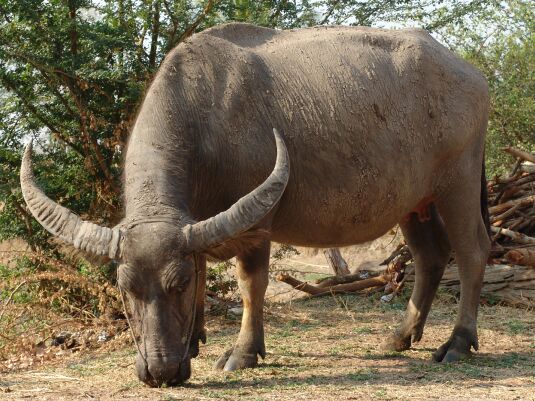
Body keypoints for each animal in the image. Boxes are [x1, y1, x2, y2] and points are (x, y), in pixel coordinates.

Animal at [19, 21, 490, 384]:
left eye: (177, 285)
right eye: (125, 288)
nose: (160, 371)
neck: (207, 121)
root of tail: (470, 72)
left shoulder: (256, 224)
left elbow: (251, 285)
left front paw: (243, 353)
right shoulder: (196, 223)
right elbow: (205, 268)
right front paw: (194, 341)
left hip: (459, 184)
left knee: (471, 252)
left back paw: (457, 342)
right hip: (415, 202)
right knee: (430, 256)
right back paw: (400, 335)